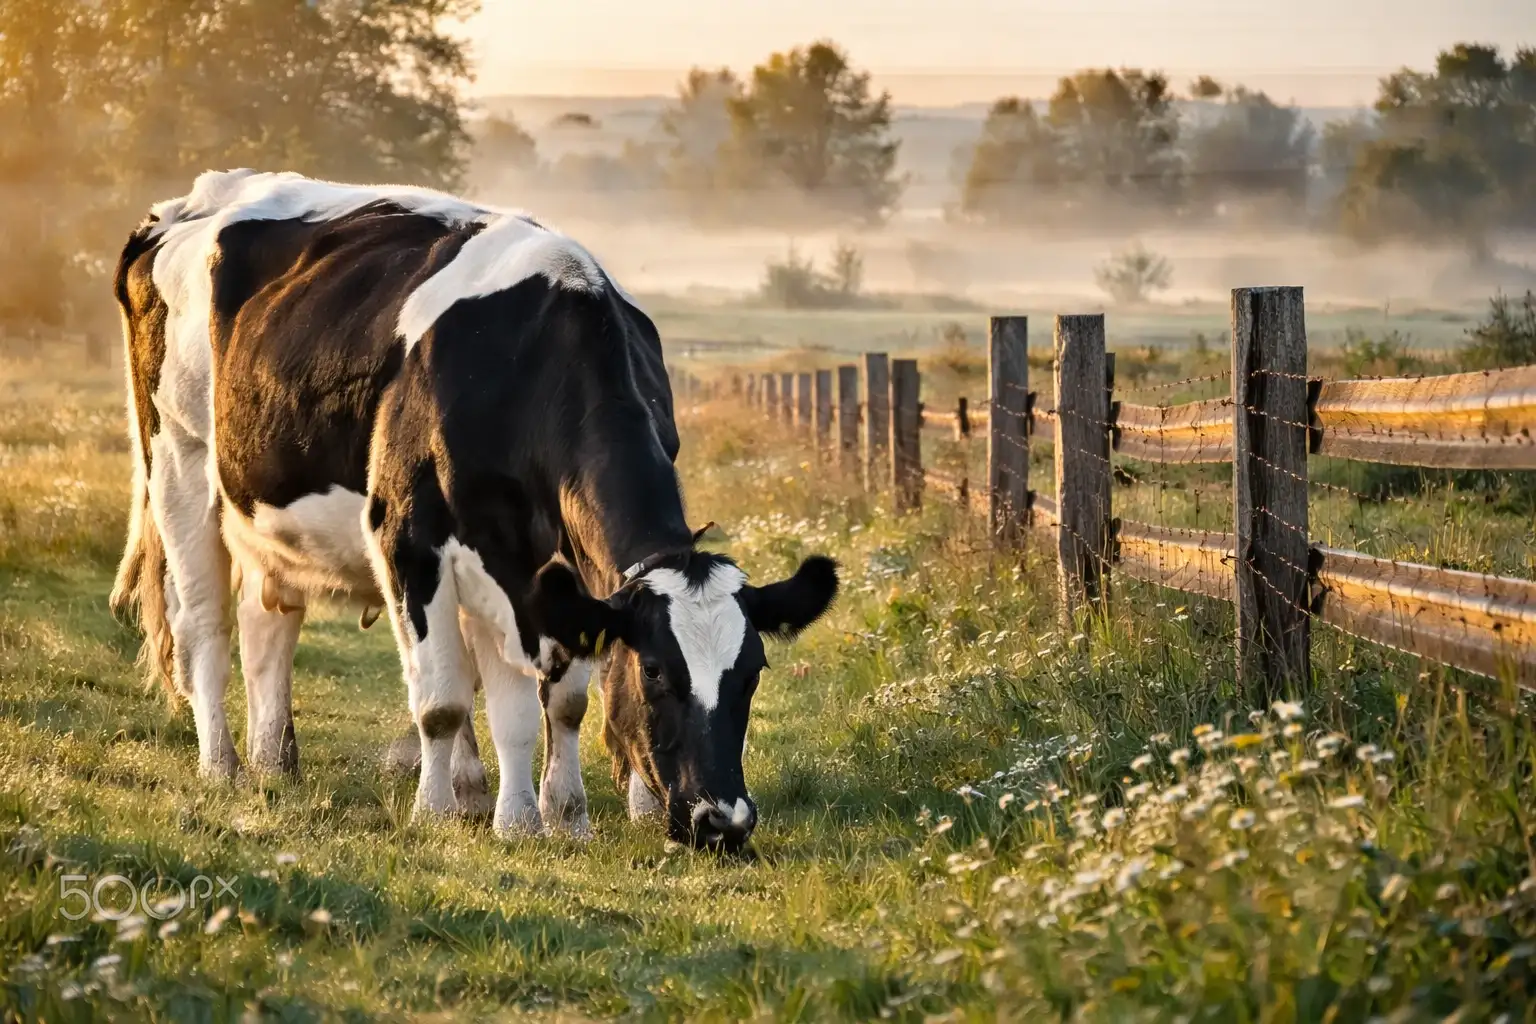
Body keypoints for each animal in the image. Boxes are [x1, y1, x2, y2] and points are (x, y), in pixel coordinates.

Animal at [109, 169, 838, 851]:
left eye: (753, 672)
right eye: (656, 670)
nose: (723, 822)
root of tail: (189, 201)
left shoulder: (552, 573)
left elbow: (556, 702)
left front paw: (548, 819)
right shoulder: (411, 540)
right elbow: (444, 700)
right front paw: (444, 813)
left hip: (266, 513)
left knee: (269, 627)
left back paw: (274, 766)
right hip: (179, 463)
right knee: (204, 625)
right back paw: (223, 767)